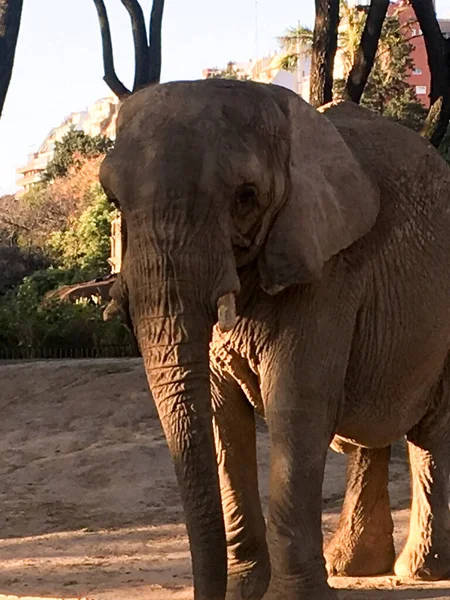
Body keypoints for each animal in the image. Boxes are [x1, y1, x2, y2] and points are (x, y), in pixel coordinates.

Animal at [100, 81, 450, 600]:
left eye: (246, 198)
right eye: (114, 202)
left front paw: (293, 596)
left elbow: (295, 405)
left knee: (430, 432)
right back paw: (353, 566)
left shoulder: (327, 269)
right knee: (371, 433)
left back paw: (420, 571)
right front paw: (244, 590)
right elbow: (222, 415)